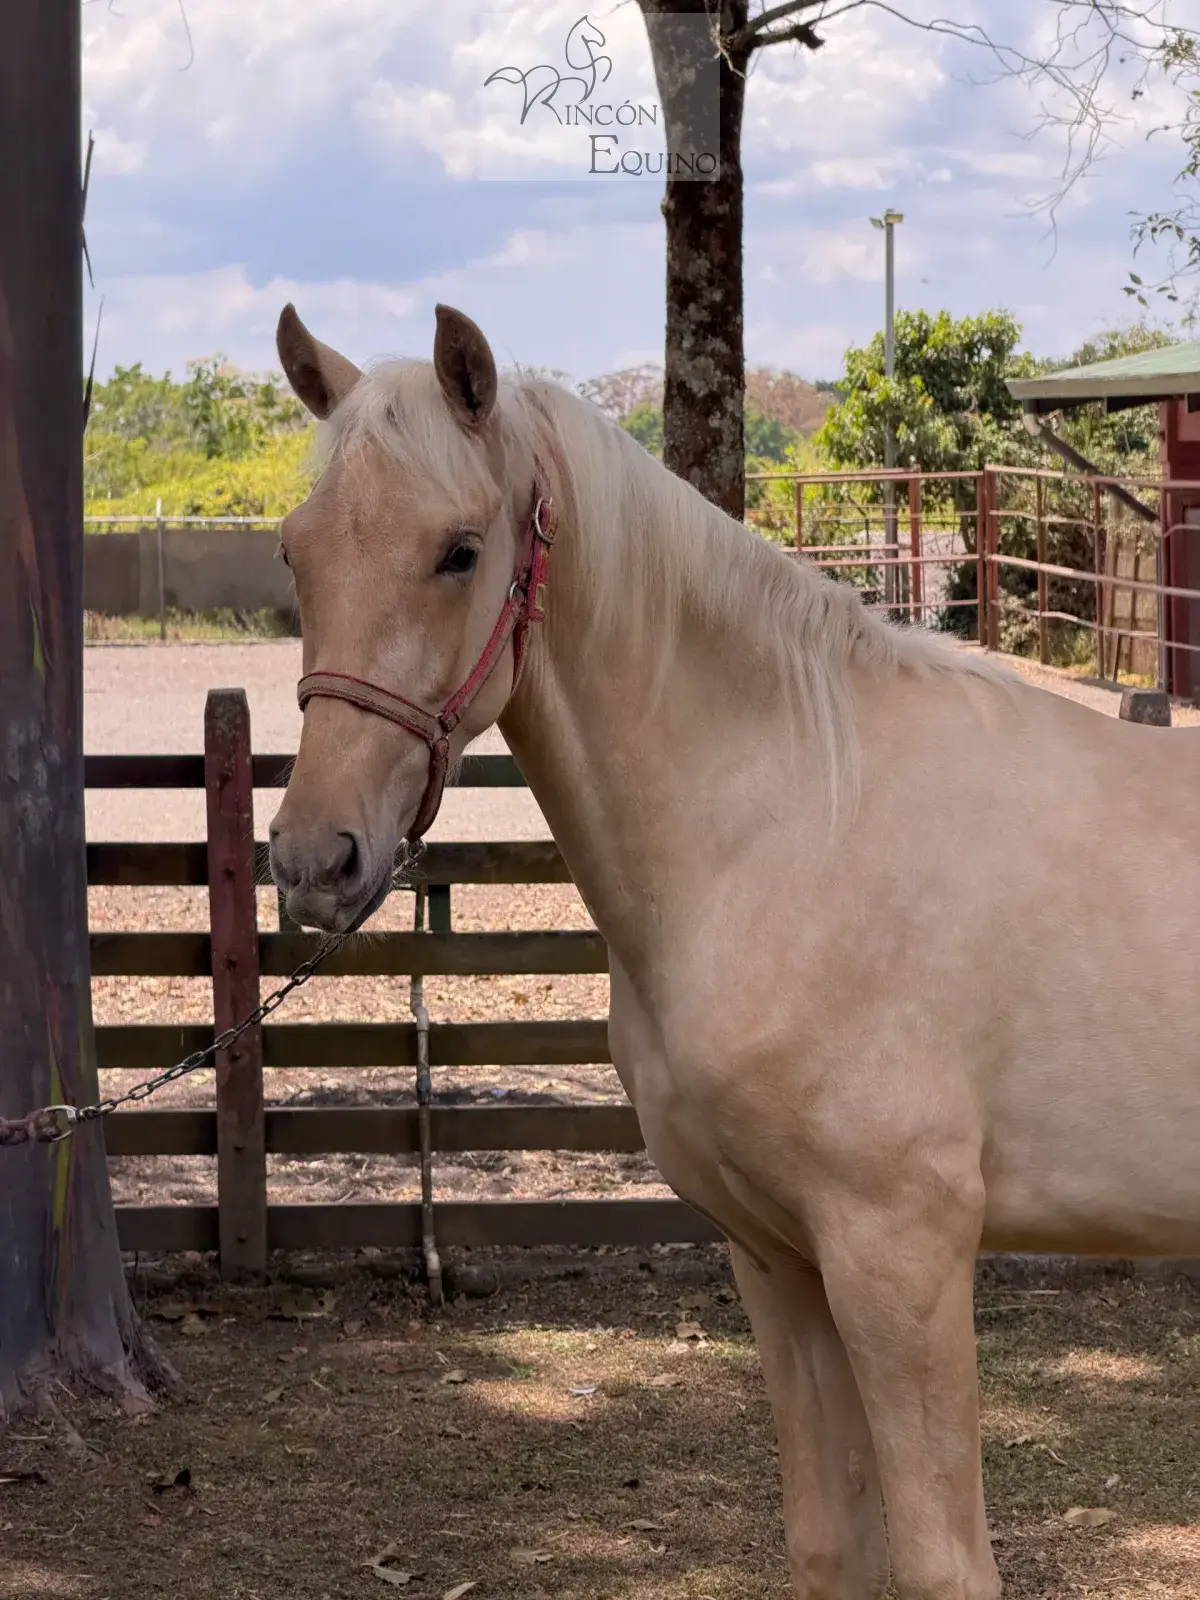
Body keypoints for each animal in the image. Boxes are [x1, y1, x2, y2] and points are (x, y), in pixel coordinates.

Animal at [267, 301, 1200, 1600]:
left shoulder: (900, 1258)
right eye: (295, 553)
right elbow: (830, 1540)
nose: (317, 859)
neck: (795, 822)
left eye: (459, 550)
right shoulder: (778, 1258)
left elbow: (941, 1560)